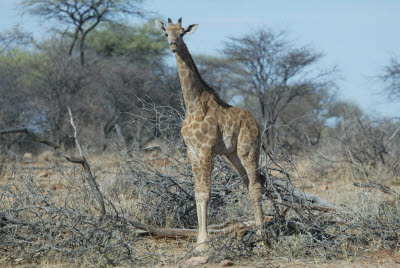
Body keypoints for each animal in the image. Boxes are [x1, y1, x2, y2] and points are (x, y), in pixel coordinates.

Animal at [156, 17, 266, 250]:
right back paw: (257, 230)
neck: (193, 104)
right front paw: (199, 241)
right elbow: (197, 193)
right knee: (250, 182)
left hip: (248, 149)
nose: (172, 45)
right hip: (233, 155)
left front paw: (205, 243)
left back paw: (262, 236)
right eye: (166, 33)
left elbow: (206, 193)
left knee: (255, 185)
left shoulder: (206, 149)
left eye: (182, 33)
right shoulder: (192, 151)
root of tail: (256, 123)